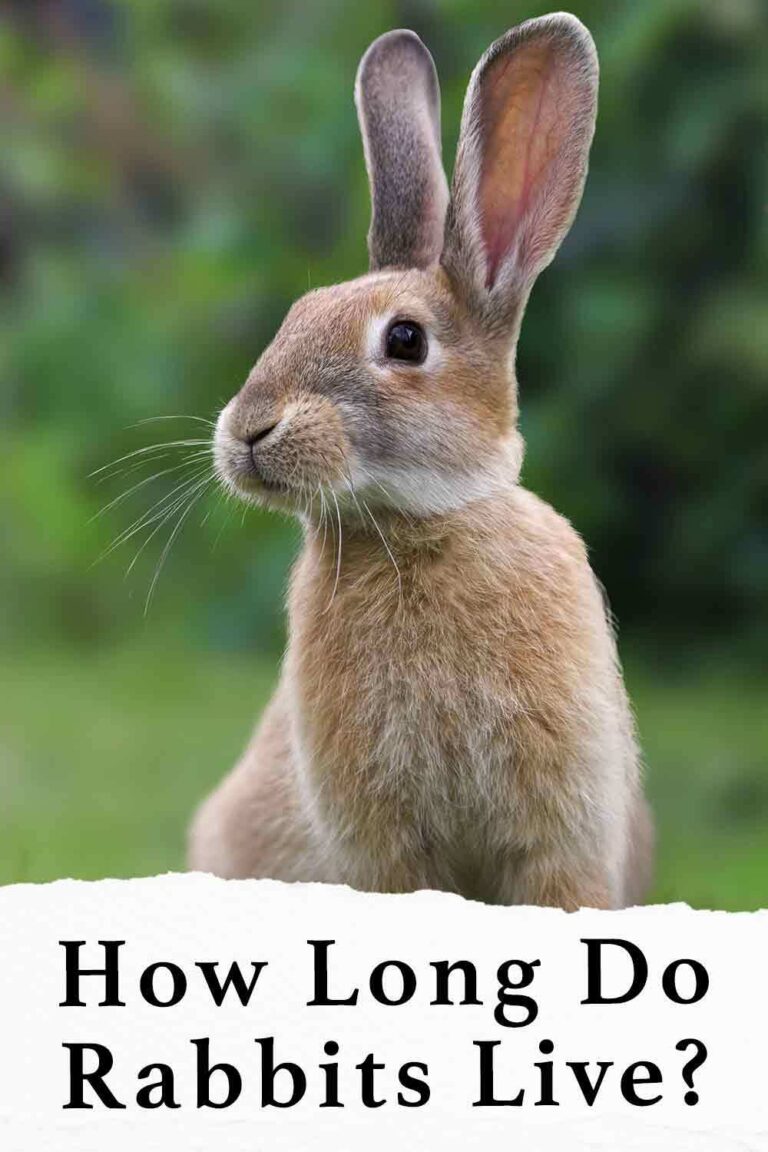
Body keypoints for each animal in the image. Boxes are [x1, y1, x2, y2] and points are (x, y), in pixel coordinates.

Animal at [188, 13, 654, 909]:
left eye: (405, 341)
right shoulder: (383, 845)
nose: (249, 432)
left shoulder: (561, 833)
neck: (416, 528)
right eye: (297, 313)